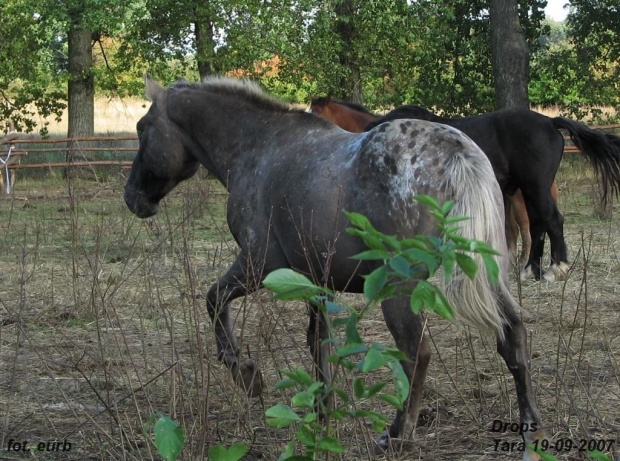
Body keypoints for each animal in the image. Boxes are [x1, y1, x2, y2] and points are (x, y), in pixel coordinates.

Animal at [126, 76, 548, 456]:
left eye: (142, 129)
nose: (132, 197)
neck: (258, 147)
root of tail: (458, 154)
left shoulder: (258, 265)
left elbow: (214, 301)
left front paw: (246, 375)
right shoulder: (315, 281)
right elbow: (318, 343)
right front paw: (321, 413)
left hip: (398, 290)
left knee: (417, 354)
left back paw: (397, 435)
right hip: (487, 276)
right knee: (513, 336)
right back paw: (530, 428)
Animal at [314, 97, 620, 280]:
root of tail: (550, 121)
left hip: (535, 187)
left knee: (552, 221)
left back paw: (555, 269)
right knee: (537, 225)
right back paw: (529, 270)